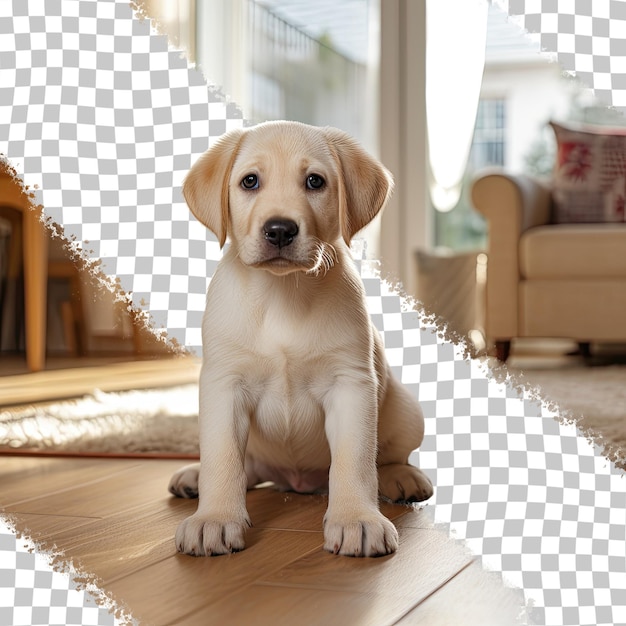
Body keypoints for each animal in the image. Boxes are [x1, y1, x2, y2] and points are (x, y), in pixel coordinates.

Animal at [171, 119, 434, 552]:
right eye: (249, 181)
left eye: (315, 181)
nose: (279, 230)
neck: (283, 293)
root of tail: (296, 482)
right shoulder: (224, 384)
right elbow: (223, 457)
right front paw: (215, 518)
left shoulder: (350, 385)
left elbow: (354, 460)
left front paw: (356, 519)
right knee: (244, 464)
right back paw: (194, 476)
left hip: (407, 410)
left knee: (388, 456)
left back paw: (402, 476)